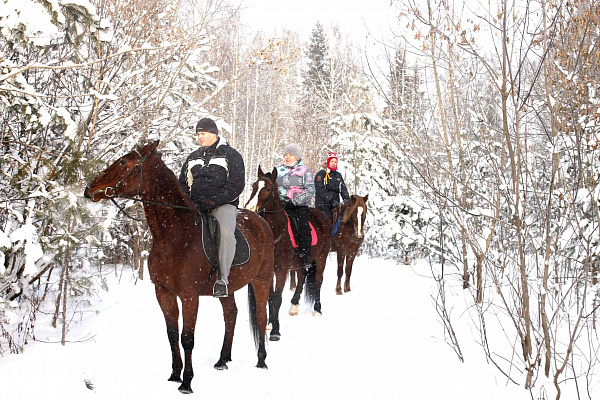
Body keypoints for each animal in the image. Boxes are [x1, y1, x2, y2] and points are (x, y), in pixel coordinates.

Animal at [82, 141, 274, 394]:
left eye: (124, 162)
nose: (89, 189)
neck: (173, 234)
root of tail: (262, 222)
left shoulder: (189, 296)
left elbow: (187, 338)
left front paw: (187, 382)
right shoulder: (163, 292)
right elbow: (172, 334)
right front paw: (174, 374)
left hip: (262, 280)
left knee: (261, 316)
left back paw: (261, 360)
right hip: (227, 287)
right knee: (230, 314)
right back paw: (223, 360)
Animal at [246, 166, 336, 340]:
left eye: (268, 188)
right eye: (254, 186)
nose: (250, 209)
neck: (275, 233)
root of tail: (324, 217)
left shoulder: (281, 270)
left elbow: (277, 297)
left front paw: (275, 330)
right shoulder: (270, 270)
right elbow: (270, 296)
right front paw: (269, 323)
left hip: (321, 257)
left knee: (318, 280)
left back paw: (317, 309)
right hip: (300, 263)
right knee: (302, 278)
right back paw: (294, 305)